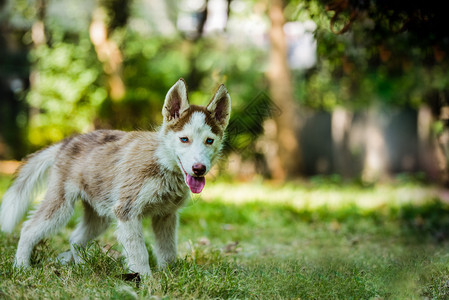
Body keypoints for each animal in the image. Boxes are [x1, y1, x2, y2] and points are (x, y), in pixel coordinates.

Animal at [0, 78, 231, 276]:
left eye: (209, 141)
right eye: (184, 139)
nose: (199, 169)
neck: (163, 162)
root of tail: (67, 142)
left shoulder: (165, 216)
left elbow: (167, 251)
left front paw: (170, 276)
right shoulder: (127, 212)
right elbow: (139, 253)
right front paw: (146, 282)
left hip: (100, 214)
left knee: (75, 238)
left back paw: (81, 267)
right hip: (60, 205)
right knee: (29, 229)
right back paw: (21, 266)